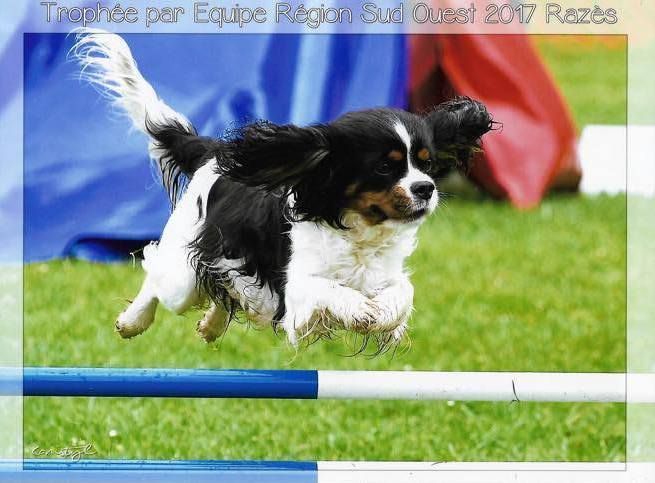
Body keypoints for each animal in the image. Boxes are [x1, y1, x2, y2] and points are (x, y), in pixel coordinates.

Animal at [71, 29, 494, 349]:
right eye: (385, 166)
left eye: (426, 163)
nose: (426, 189)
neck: (357, 231)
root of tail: (214, 153)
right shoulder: (296, 295)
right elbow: (327, 288)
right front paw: (360, 310)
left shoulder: (384, 274)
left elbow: (402, 293)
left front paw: (384, 315)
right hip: (183, 271)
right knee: (159, 273)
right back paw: (132, 321)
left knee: (227, 289)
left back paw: (210, 324)